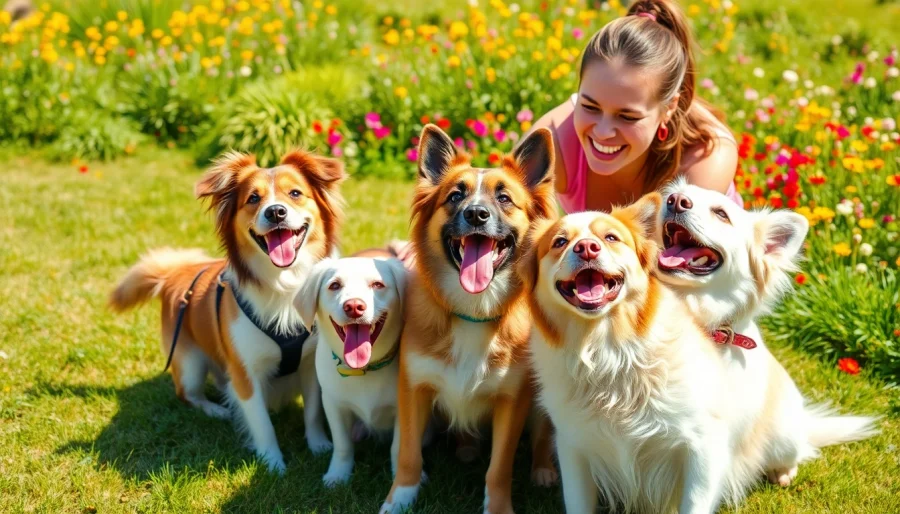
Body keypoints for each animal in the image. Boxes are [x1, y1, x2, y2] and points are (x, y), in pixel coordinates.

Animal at [296, 255, 408, 484]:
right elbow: (342, 444)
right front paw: (338, 474)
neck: (363, 369)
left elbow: (398, 448)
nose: (354, 306)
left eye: (378, 284)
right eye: (335, 285)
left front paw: (398, 477)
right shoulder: (333, 404)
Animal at [380, 124, 564, 512]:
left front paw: (499, 507)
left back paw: (543, 470)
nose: (476, 214)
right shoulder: (413, 388)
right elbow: (408, 454)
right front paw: (399, 498)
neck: (473, 311)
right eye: (454, 196)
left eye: (505, 198)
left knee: (543, 437)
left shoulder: (513, 400)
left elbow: (499, 468)